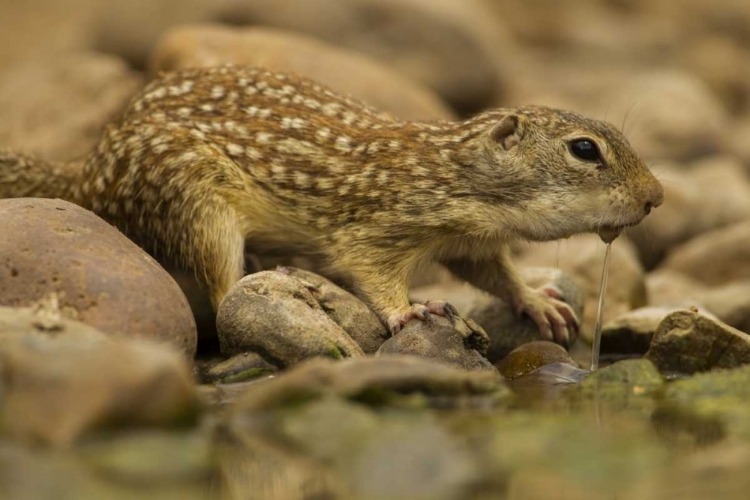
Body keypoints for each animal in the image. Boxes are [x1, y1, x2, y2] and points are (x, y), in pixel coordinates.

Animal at [0, 64, 664, 346]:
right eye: (585, 149)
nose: (656, 197)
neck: (460, 172)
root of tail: (87, 171)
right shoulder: (384, 226)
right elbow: (372, 268)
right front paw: (406, 311)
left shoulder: (469, 242)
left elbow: (494, 274)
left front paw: (537, 302)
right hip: (195, 199)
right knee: (225, 291)